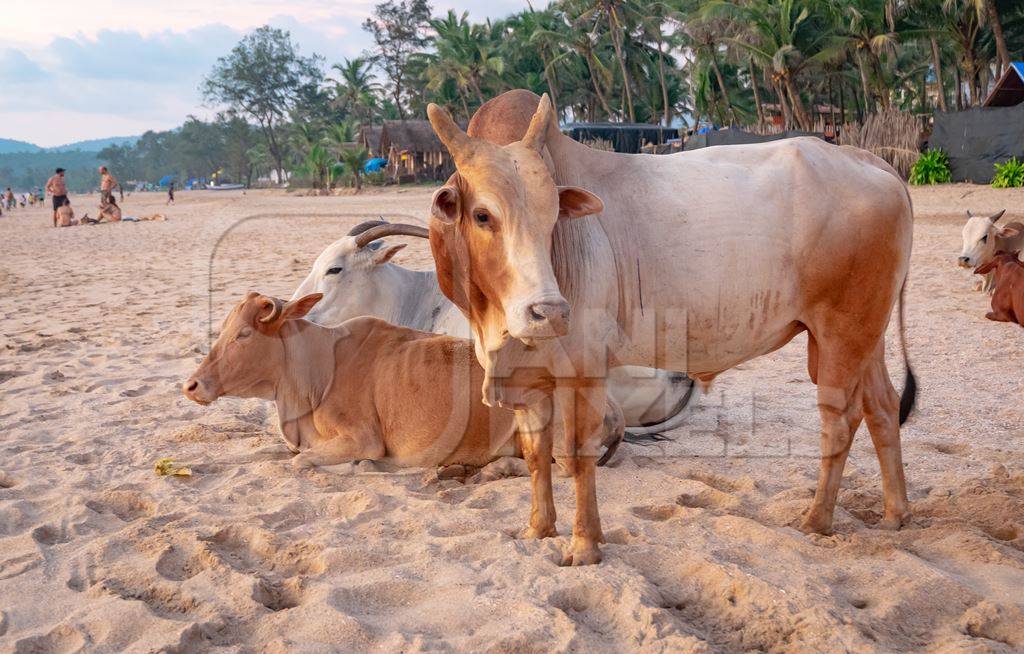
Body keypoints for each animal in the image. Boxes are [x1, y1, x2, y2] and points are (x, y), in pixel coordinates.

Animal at [419, 89, 917, 564]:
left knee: (840, 419)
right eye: (483, 215)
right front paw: (538, 529)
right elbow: (537, 455)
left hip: (840, 333)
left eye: (553, 216)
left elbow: (577, 456)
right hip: (863, 335)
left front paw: (585, 545)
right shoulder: (528, 377)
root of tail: (869, 160)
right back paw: (895, 514)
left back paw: (817, 519)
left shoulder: (583, 370)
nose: (551, 312)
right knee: (882, 406)